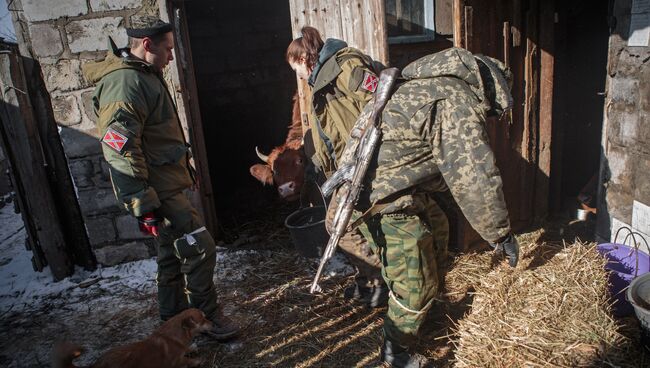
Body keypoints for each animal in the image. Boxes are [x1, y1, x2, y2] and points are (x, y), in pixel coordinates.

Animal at [52, 308, 213, 368]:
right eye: (203, 319)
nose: (212, 323)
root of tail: (96, 364)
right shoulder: (175, 361)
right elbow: (188, 360)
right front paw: (198, 360)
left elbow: (187, 349)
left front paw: (192, 348)